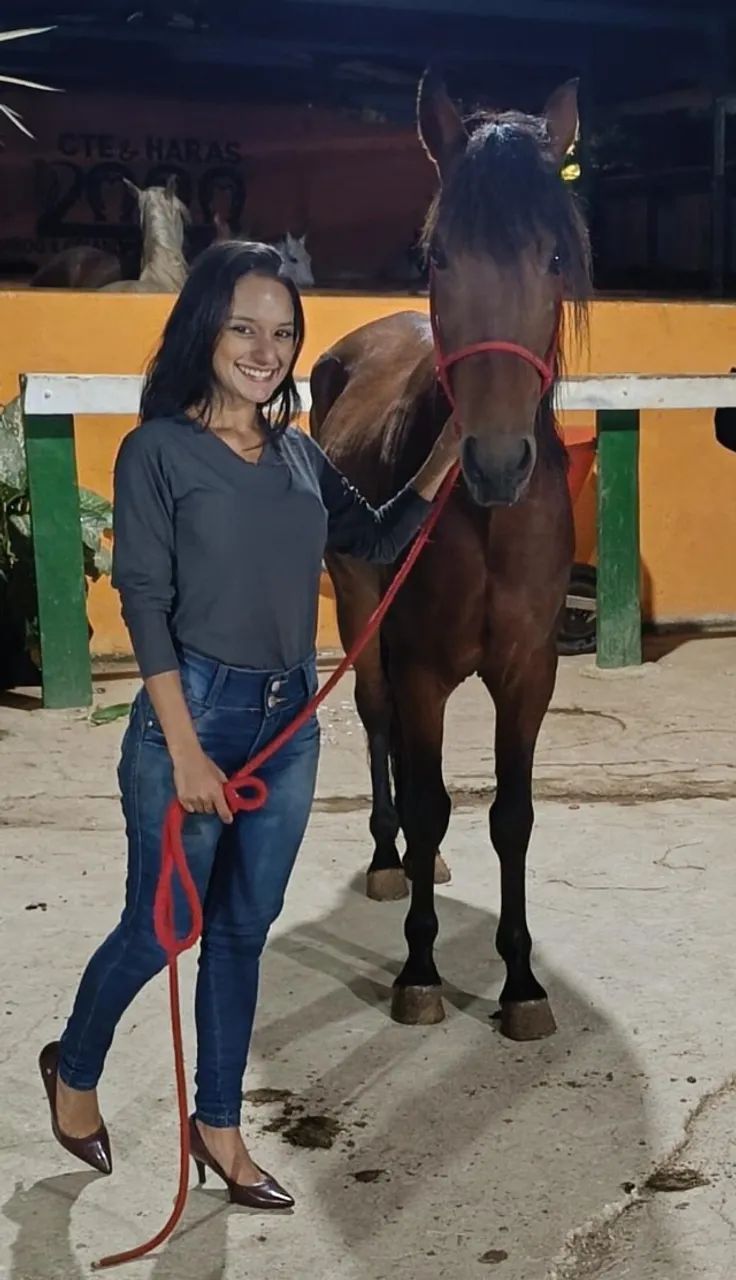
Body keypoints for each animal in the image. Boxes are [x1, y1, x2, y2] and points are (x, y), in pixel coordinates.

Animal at [310, 70, 591, 1041]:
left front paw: (522, 983)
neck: (489, 520)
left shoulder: (530, 672)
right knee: (378, 719)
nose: (497, 462)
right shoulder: (424, 664)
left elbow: (513, 817)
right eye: (438, 257)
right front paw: (421, 969)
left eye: (555, 257)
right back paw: (389, 858)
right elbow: (432, 800)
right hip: (362, 605)